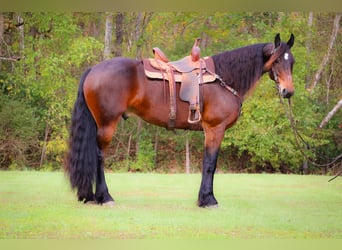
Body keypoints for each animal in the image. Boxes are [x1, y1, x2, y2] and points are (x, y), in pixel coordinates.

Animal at [65, 32, 296, 207]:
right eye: (277, 60)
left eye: (292, 62)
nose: (288, 91)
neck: (224, 79)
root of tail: (93, 69)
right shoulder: (215, 129)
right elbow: (210, 164)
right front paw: (208, 200)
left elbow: (207, 163)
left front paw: (203, 198)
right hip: (106, 125)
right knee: (99, 157)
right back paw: (105, 197)